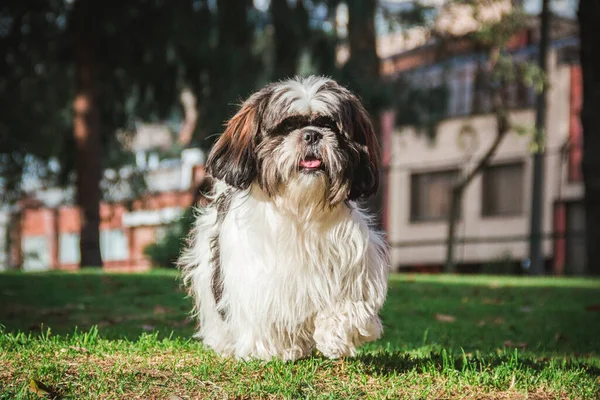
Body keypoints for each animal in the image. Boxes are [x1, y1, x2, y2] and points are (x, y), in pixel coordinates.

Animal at [178, 76, 390, 362]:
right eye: (286, 126)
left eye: (329, 125)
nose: (312, 134)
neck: (301, 208)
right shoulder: (259, 276)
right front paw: (276, 349)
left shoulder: (353, 262)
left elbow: (350, 304)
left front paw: (336, 336)